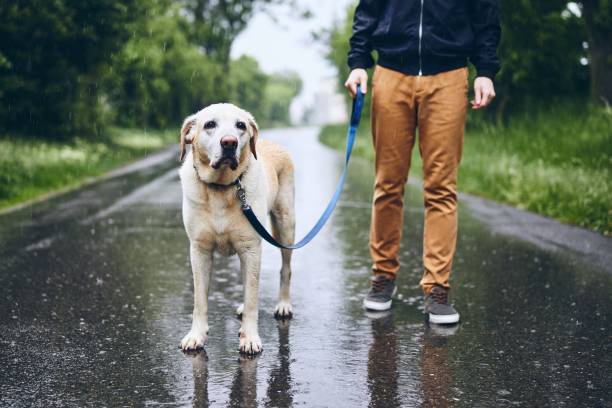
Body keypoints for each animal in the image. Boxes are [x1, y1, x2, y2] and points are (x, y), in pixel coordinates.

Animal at [177, 103, 294, 356]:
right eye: (210, 124)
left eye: (240, 125)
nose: (229, 142)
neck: (221, 188)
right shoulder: (199, 250)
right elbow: (199, 301)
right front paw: (196, 335)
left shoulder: (251, 249)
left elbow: (252, 300)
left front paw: (249, 338)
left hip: (286, 226)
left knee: (285, 269)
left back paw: (283, 304)